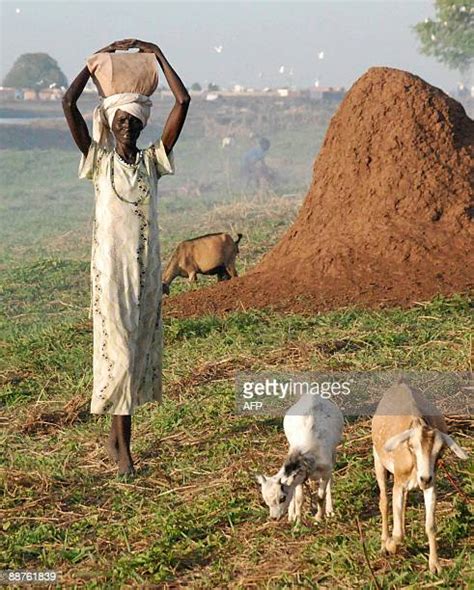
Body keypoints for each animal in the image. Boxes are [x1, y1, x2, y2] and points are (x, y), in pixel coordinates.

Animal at [258, 396, 342, 524]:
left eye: (282, 498)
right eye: (266, 500)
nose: (274, 518)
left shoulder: (326, 471)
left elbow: (321, 496)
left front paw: (319, 517)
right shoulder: (300, 476)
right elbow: (298, 499)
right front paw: (297, 521)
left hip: (334, 453)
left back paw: (329, 510)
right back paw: (291, 515)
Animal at [372, 382, 468, 576]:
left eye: (440, 451)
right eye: (411, 446)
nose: (424, 478)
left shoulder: (432, 484)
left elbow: (430, 526)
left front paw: (435, 565)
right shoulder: (399, 483)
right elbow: (397, 533)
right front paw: (391, 545)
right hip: (377, 459)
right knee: (384, 502)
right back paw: (384, 542)